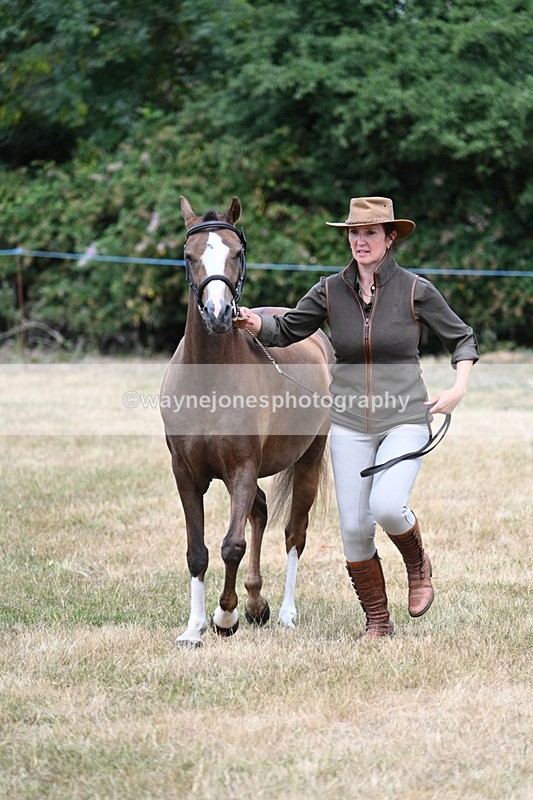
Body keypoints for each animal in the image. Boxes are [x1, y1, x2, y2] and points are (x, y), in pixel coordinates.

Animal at [160, 196, 334, 646]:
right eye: (189, 256)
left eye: (236, 253)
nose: (219, 313)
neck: (209, 379)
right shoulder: (186, 473)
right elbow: (197, 551)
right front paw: (194, 628)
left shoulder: (242, 468)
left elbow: (231, 545)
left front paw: (225, 617)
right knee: (259, 510)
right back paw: (256, 603)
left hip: (308, 460)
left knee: (294, 532)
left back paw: (285, 612)